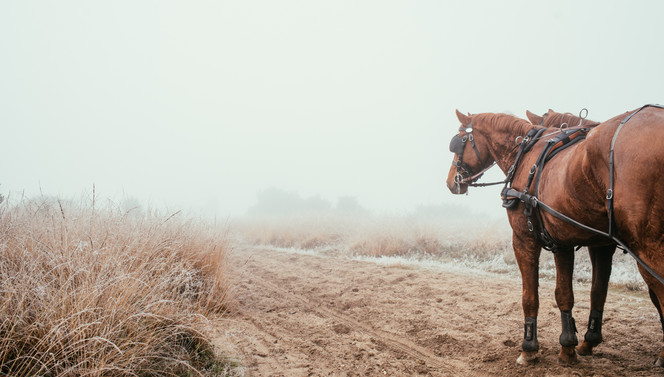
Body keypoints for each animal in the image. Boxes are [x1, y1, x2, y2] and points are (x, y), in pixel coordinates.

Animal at [448, 105, 664, 364]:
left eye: (459, 141)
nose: (451, 181)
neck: (527, 154)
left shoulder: (524, 238)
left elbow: (530, 295)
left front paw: (528, 348)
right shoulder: (571, 241)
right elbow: (576, 293)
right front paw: (571, 346)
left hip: (646, 246)